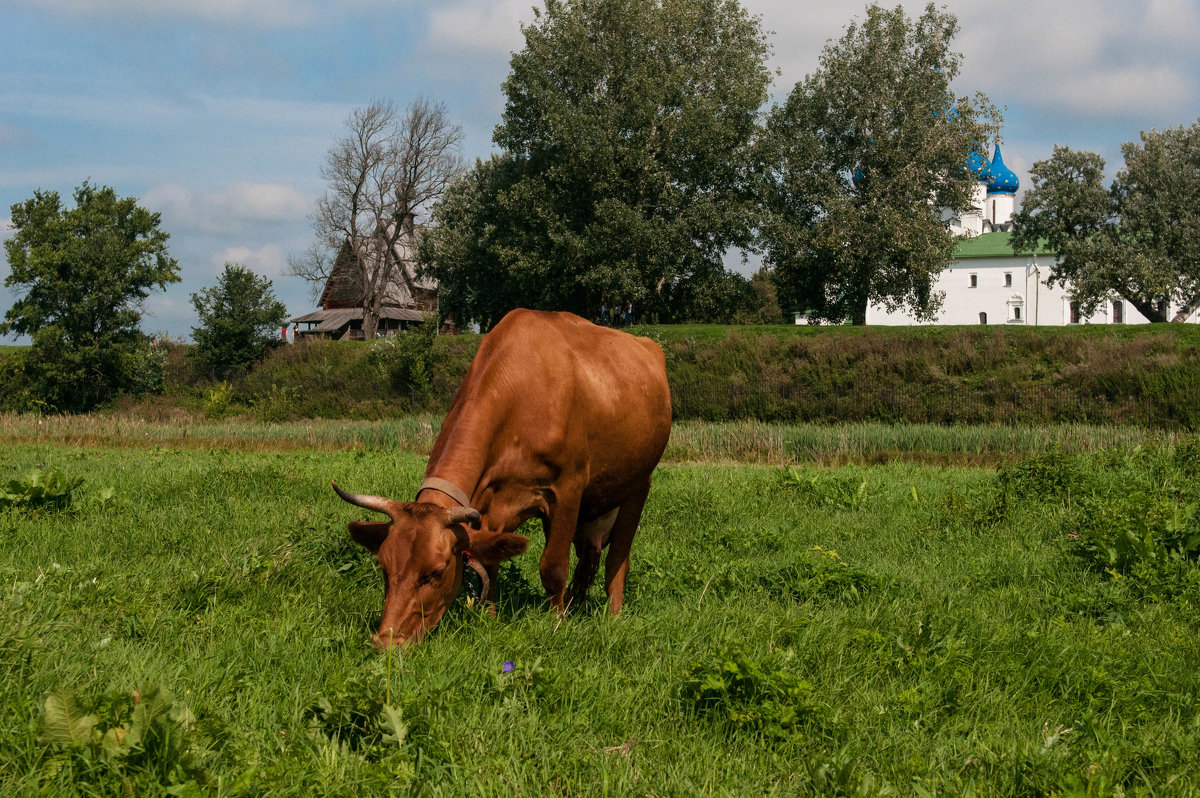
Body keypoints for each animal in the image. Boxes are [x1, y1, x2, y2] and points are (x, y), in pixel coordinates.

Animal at [336, 307, 676, 643]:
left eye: (436, 571)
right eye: (383, 566)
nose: (386, 642)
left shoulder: (568, 488)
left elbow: (553, 568)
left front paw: (557, 624)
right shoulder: (490, 504)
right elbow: (490, 563)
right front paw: (490, 619)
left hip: (638, 485)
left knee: (618, 559)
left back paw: (612, 614)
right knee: (589, 557)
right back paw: (577, 605)